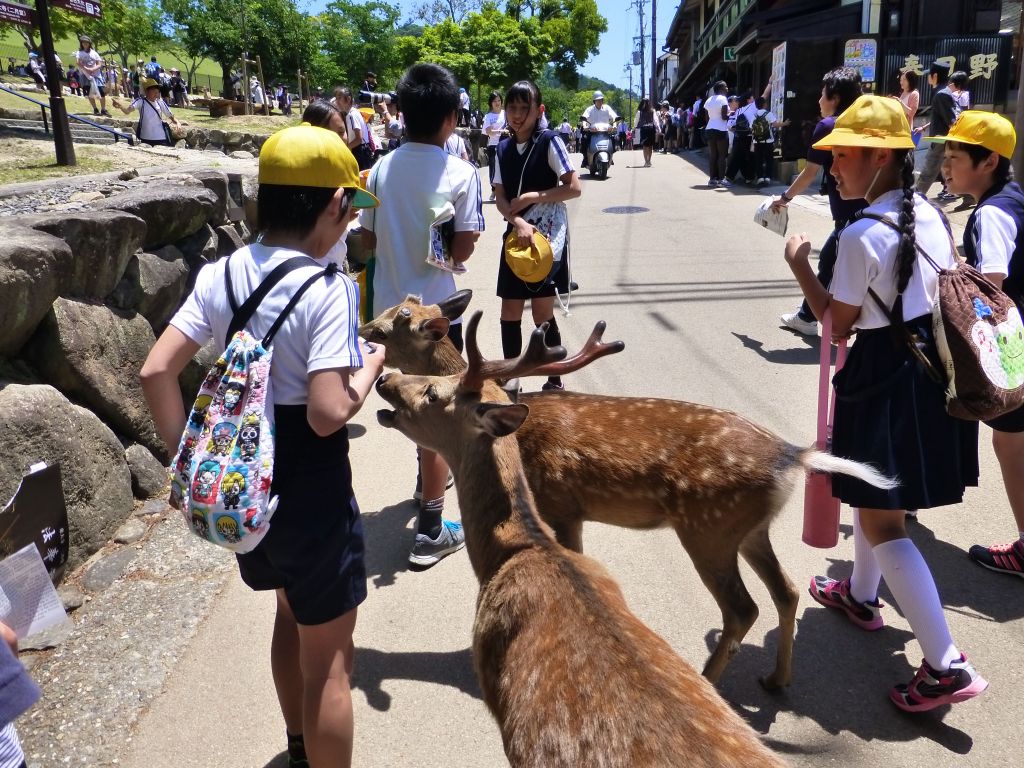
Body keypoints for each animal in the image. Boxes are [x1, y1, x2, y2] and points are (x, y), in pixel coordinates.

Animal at [372, 313, 786, 768]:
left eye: (433, 392)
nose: (385, 379)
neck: (520, 551)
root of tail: (790, 459)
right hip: (750, 533)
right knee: (785, 591)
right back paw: (774, 679)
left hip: (708, 532)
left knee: (743, 607)